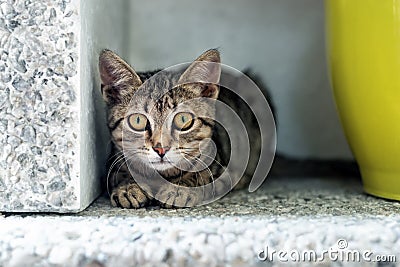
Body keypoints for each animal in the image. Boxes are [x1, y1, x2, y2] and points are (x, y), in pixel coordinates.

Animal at [99, 49, 264, 209]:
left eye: (183, 119)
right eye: (138, 120)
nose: (161, 149)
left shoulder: (223, 173)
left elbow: (201, 177)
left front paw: (179, 189)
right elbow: (119, 173)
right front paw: (128, 187)